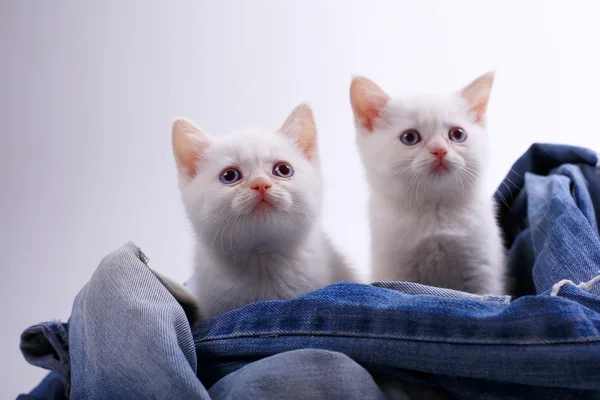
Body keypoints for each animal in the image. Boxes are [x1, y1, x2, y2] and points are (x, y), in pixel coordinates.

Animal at [352, 73, 506, 296]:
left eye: (457, 134)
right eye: (410, 137)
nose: (439, 150)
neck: (433, 209)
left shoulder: (481, 270)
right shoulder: (395, 271)